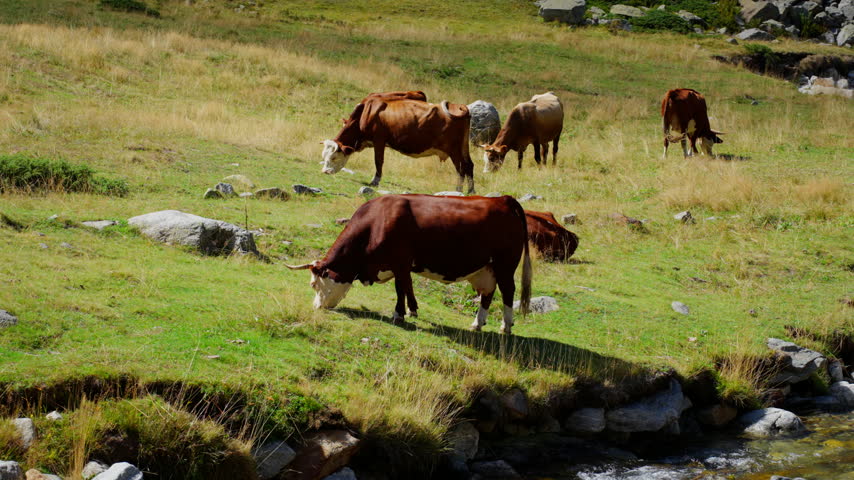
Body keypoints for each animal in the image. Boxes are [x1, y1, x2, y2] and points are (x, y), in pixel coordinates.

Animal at [286, 194, 532, 334]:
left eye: (314, 285)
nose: (317, 307)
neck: (376, 222)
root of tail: (504, 199)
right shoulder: (400, 266)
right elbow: (405, 287)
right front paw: (409, 310)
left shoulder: (400, 263)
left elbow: (400, 288)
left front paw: (399, 314)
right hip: (486, 269)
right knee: (488, 294)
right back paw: (477, 323)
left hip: (505, 265)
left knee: (508, 291)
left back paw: (506, 326)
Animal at [321, 97, 475, 193]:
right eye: (324, 156)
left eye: (334, 157)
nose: (325, 172)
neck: (366, 112)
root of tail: (459, 106)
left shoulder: (379, 140)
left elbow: (378, 161)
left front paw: (374, 181)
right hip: (463, 147)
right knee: (469, 165)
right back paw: (470, 190)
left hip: (453, 150)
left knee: (461, 168)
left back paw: (457, 190)